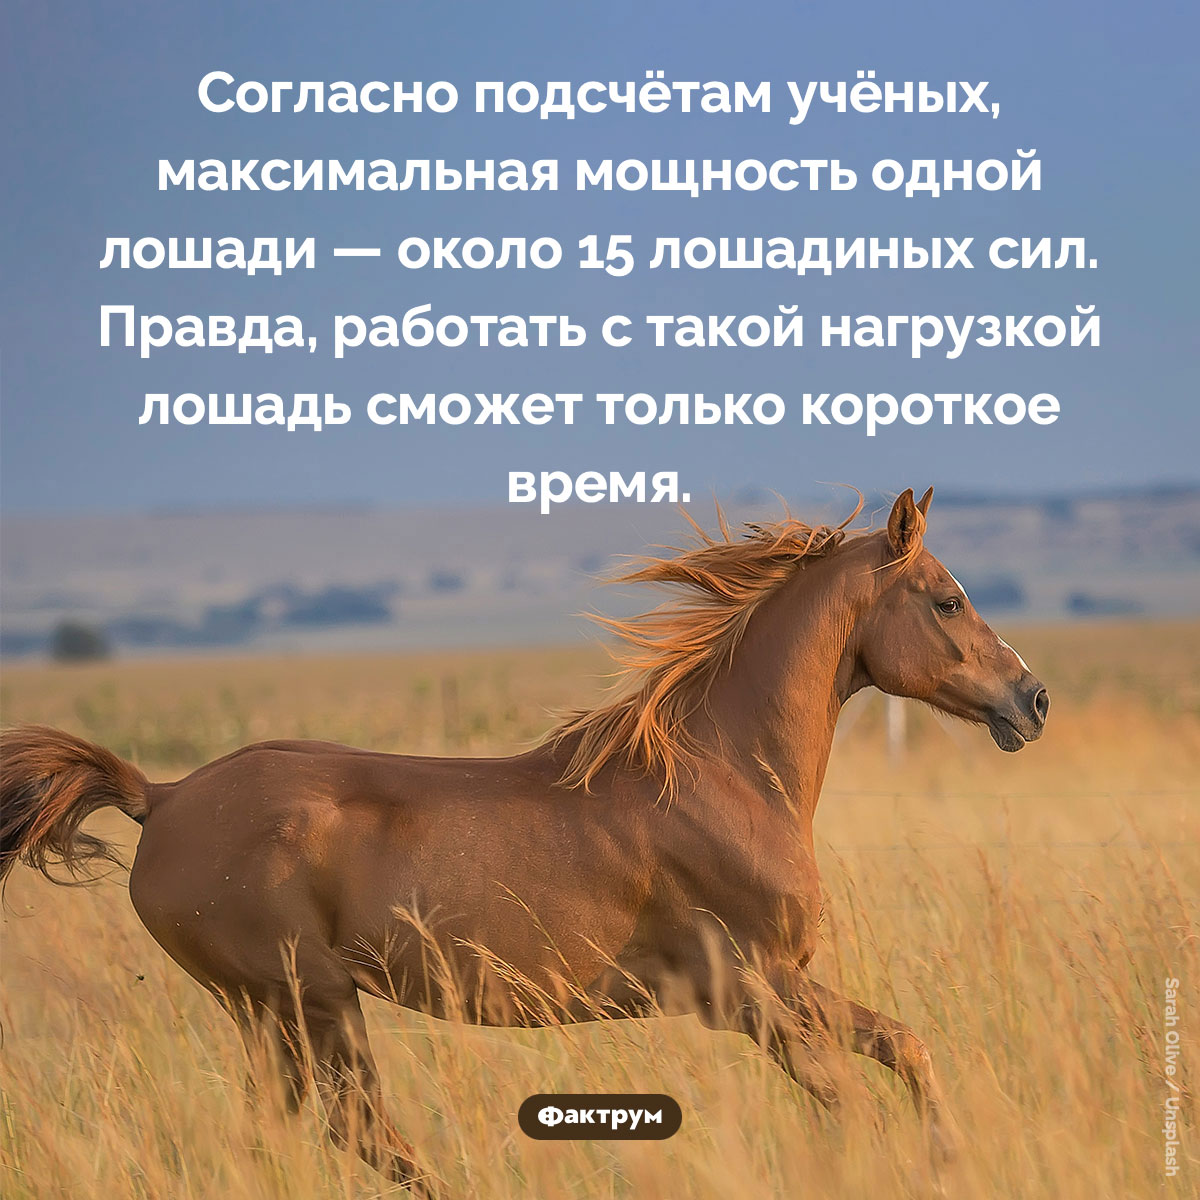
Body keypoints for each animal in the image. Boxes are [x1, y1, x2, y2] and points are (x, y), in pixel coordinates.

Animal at [0, 488, 1049, 1192]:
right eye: (948, 598)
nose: (1032, 699)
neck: (724, 775)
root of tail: (163, 796)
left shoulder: (786, 981)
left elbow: (905, 1048)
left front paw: (950, 1158)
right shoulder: (744, 992)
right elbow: (850, 1102)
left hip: (278, 1014)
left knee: (294, 1135)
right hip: (304, 1001)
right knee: (358, 1132)